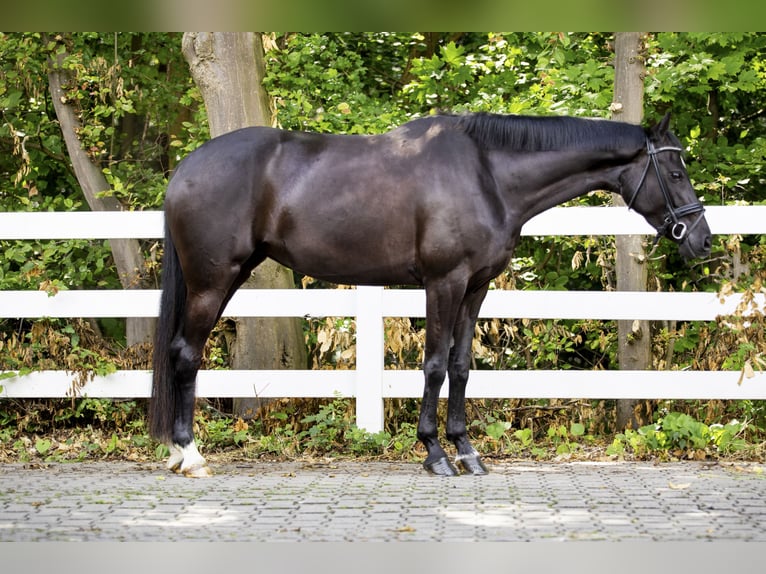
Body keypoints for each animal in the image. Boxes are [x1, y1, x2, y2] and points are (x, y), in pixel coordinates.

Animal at [148, 111, 712, 477]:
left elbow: (460, 366)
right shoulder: (445, 282)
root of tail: (185, 168)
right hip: (212, 282)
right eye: (676, 171)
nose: (702, 240)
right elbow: (436, 365)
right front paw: (435, 453)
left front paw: (467, 451)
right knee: (186, 354)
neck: (487, 174)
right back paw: (189, 455)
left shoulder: (476, 286)